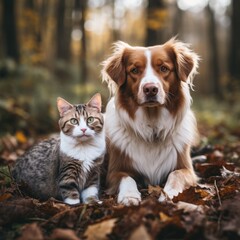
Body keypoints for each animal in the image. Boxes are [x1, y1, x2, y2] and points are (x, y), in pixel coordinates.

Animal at [102, 38, 200, 206]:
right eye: (134, 70)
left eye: (163, 68)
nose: (150, 89)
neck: (152, 127)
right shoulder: (114, 172)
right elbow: (127, 178)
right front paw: (129, 196)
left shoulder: (187, 170)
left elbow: (176, 175)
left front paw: (169, 194)